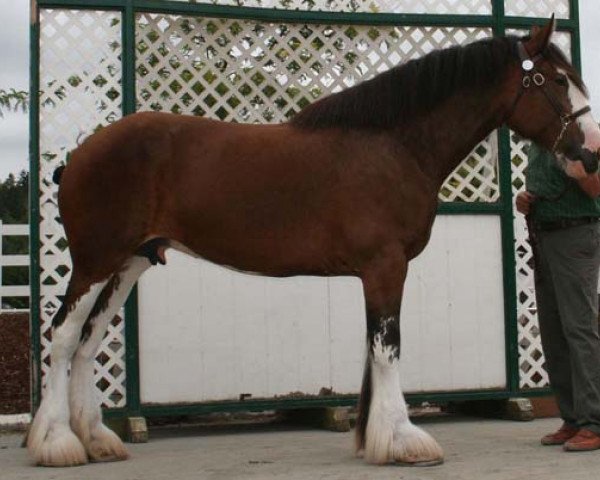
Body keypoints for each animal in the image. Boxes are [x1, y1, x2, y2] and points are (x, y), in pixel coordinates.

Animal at [27, 16, 600, 466]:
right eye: (555, 80)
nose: (590, 154)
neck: (394, 145)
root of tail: (80, 154)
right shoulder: (386, 265)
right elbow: (388, 349)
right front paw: (403, 440)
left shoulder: (377, 271)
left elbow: (373, 350)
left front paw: (373, 438)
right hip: (95, 260)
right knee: (63, 337)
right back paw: (56, 443)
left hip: (129, 262)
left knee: (88, 342)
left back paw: (97, 439)